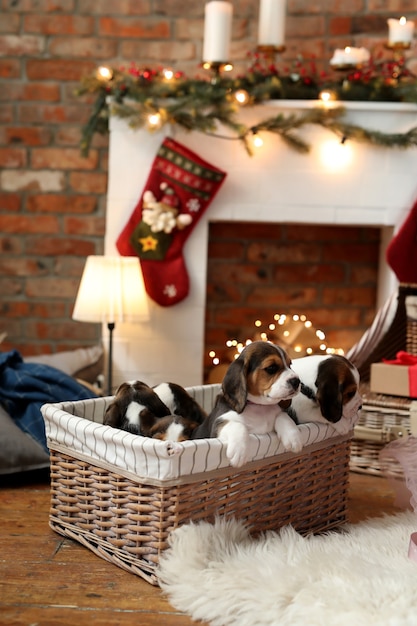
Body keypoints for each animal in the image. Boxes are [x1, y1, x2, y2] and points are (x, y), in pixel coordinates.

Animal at [193, 338, 300, 466]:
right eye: (271, 368)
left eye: (290, 365)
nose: (297, 381)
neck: (259, 406)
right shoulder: (217, 427)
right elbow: (238, 425)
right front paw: (239, 451)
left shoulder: (279, 413)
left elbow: (283, 415)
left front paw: (293, 436)